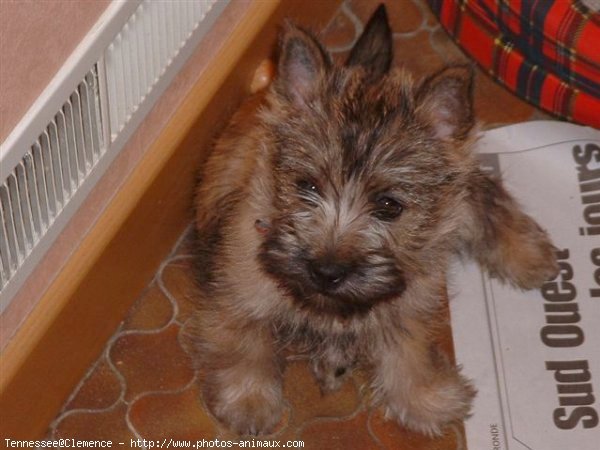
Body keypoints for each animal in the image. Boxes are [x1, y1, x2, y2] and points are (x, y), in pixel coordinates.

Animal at [185, 5, 560, 438]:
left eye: (389, 206)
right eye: (306, 186)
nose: (327, 272)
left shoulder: (411, 296)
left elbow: (409, 345)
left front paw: (424, 396)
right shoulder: (235, 285)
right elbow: (244, 340)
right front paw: (249, 400)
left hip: (457, 196)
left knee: (484, 194)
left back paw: (530, 256)